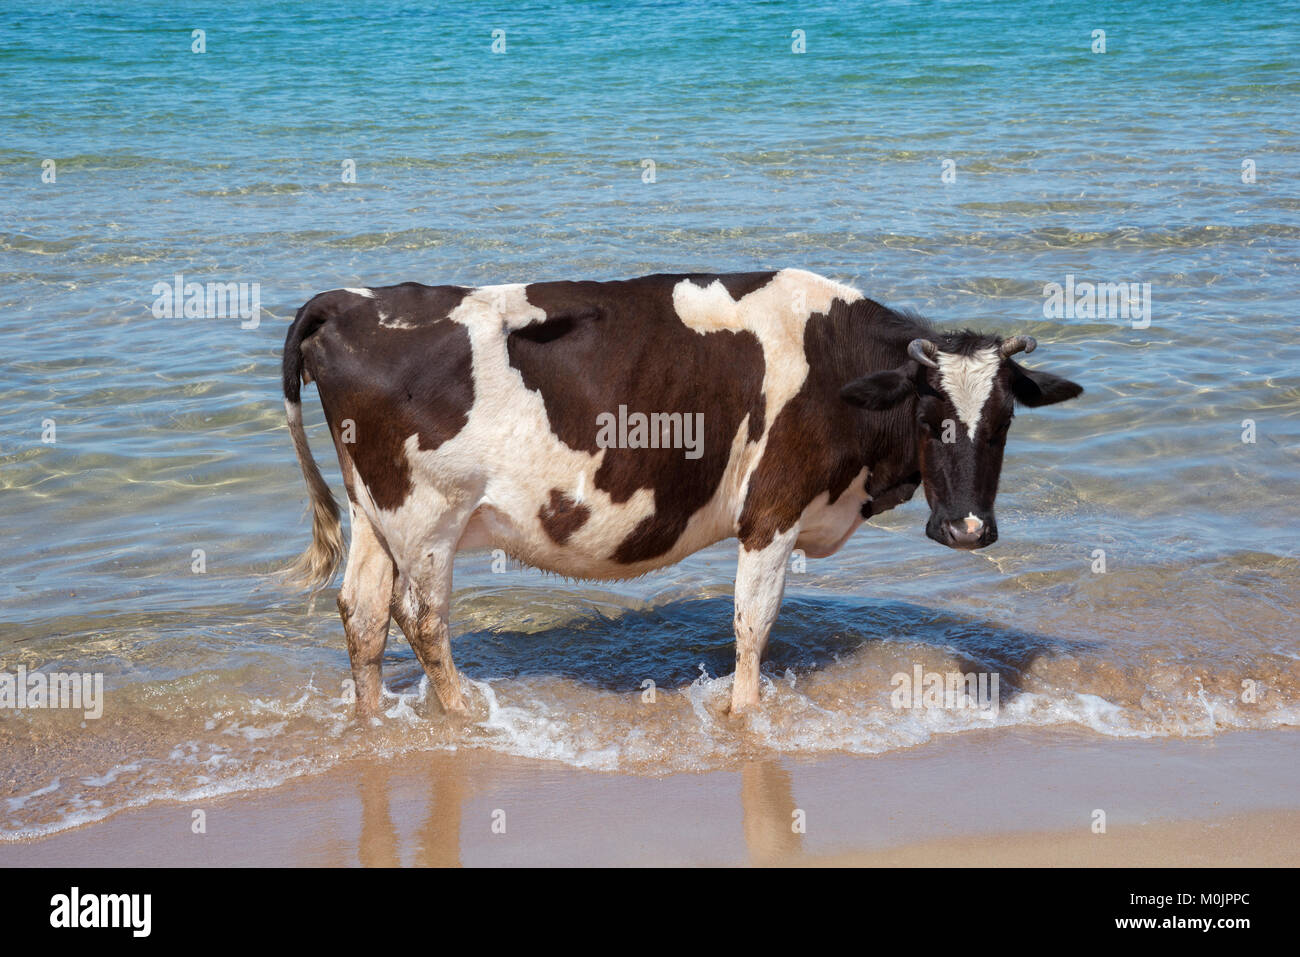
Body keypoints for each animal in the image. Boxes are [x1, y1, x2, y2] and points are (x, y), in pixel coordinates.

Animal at [284, 269, 1086, 717]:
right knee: (421, 620)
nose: (967, 529)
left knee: (363, 614)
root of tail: (348, 302)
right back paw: (463, 716)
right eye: (928, 416)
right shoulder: (772, 512)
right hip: (428, 518)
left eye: (1003, 421)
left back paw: (371, 722)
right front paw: (745, 716)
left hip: (374, 514)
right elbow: (753, 625)